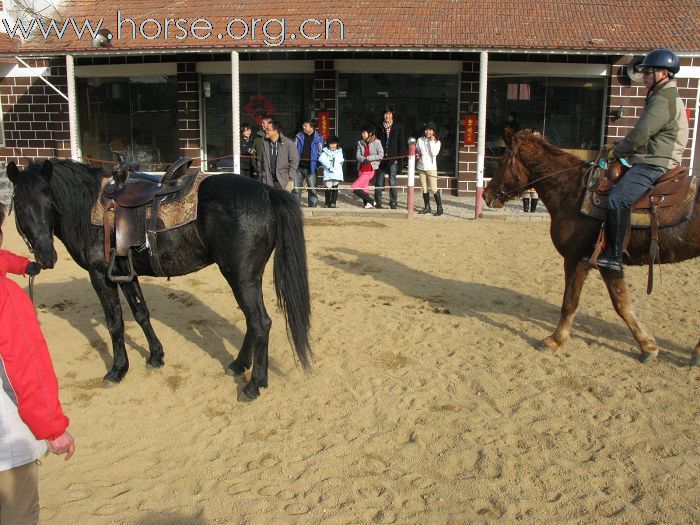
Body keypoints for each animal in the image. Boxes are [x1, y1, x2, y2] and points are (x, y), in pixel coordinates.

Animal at [7, 159, 312, 398]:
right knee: (253, 321)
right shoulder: (124, 274)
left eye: (49, 201)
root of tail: (267, 192)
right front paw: (155, 355)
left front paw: (117, 370)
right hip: (247, 276)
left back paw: (254, 384)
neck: (88, 208)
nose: (45, 257)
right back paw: (239, 365)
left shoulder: (100, 276)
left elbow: (115, 323)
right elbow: (141, 313)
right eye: (20, 205)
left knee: (260, 322)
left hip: (240, 276)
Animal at [484, 128, 696, 364]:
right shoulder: (608, 265)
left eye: (502, 161)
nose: (486, 194)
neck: (574, 194)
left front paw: (555, 339)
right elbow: (622, 304)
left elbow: (570, 302)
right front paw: (648, 346)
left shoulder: (577, 259)